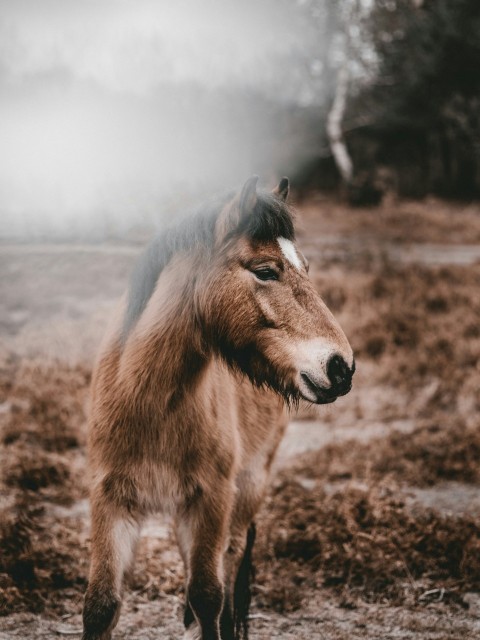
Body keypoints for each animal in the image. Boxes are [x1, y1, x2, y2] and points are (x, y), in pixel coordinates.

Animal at [82, 176, 354, 640]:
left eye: (305, 268)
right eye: (265, 270)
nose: (341, 367)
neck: (150, 402)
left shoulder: (213, 498)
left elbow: (209, 595)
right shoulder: (111, 498)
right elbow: (101, 605)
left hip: (248, 486)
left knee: (229, 563)